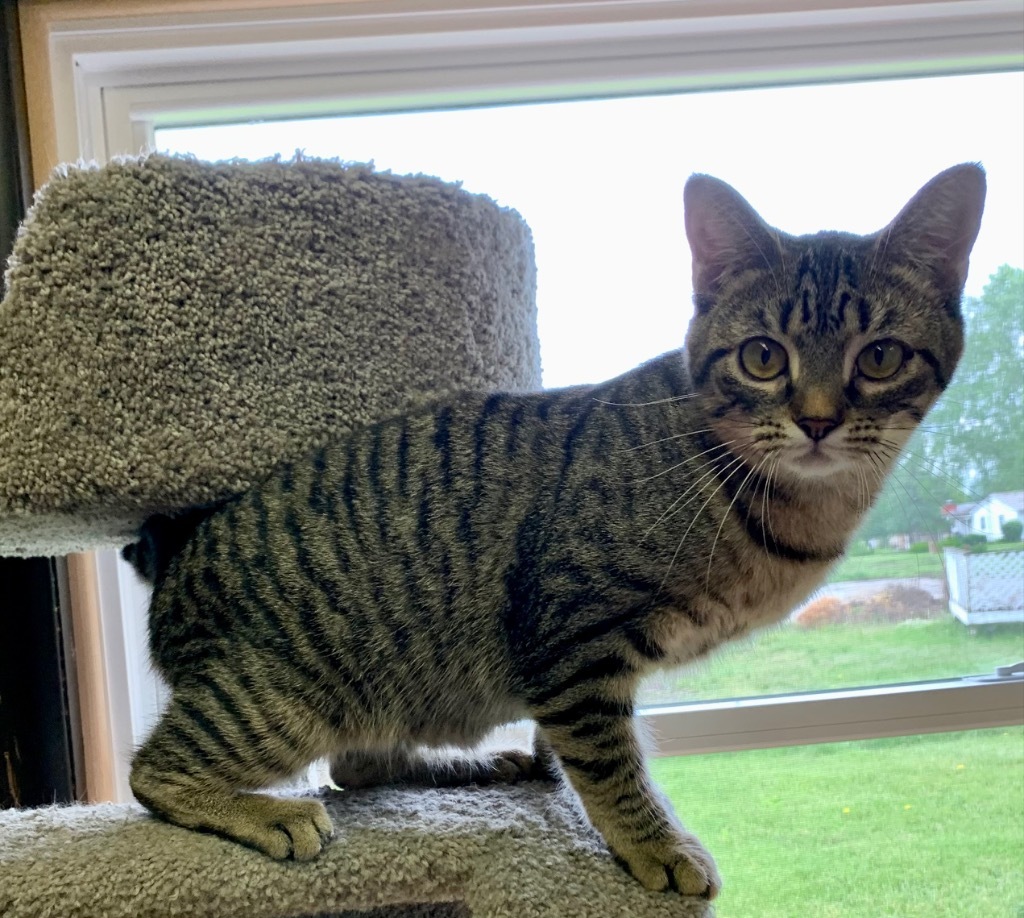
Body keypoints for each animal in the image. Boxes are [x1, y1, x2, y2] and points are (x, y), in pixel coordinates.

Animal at [125, 162, 983, 897]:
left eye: (879, 357)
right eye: (765, 356)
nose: (817, 420)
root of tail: (178, 557)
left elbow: (591, 756)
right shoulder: (575, 643)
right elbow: (610, 766)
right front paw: (656, 844)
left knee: (359, 766)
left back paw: (472, 769)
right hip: (282, 693)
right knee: (155, 773)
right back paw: (266, 810)